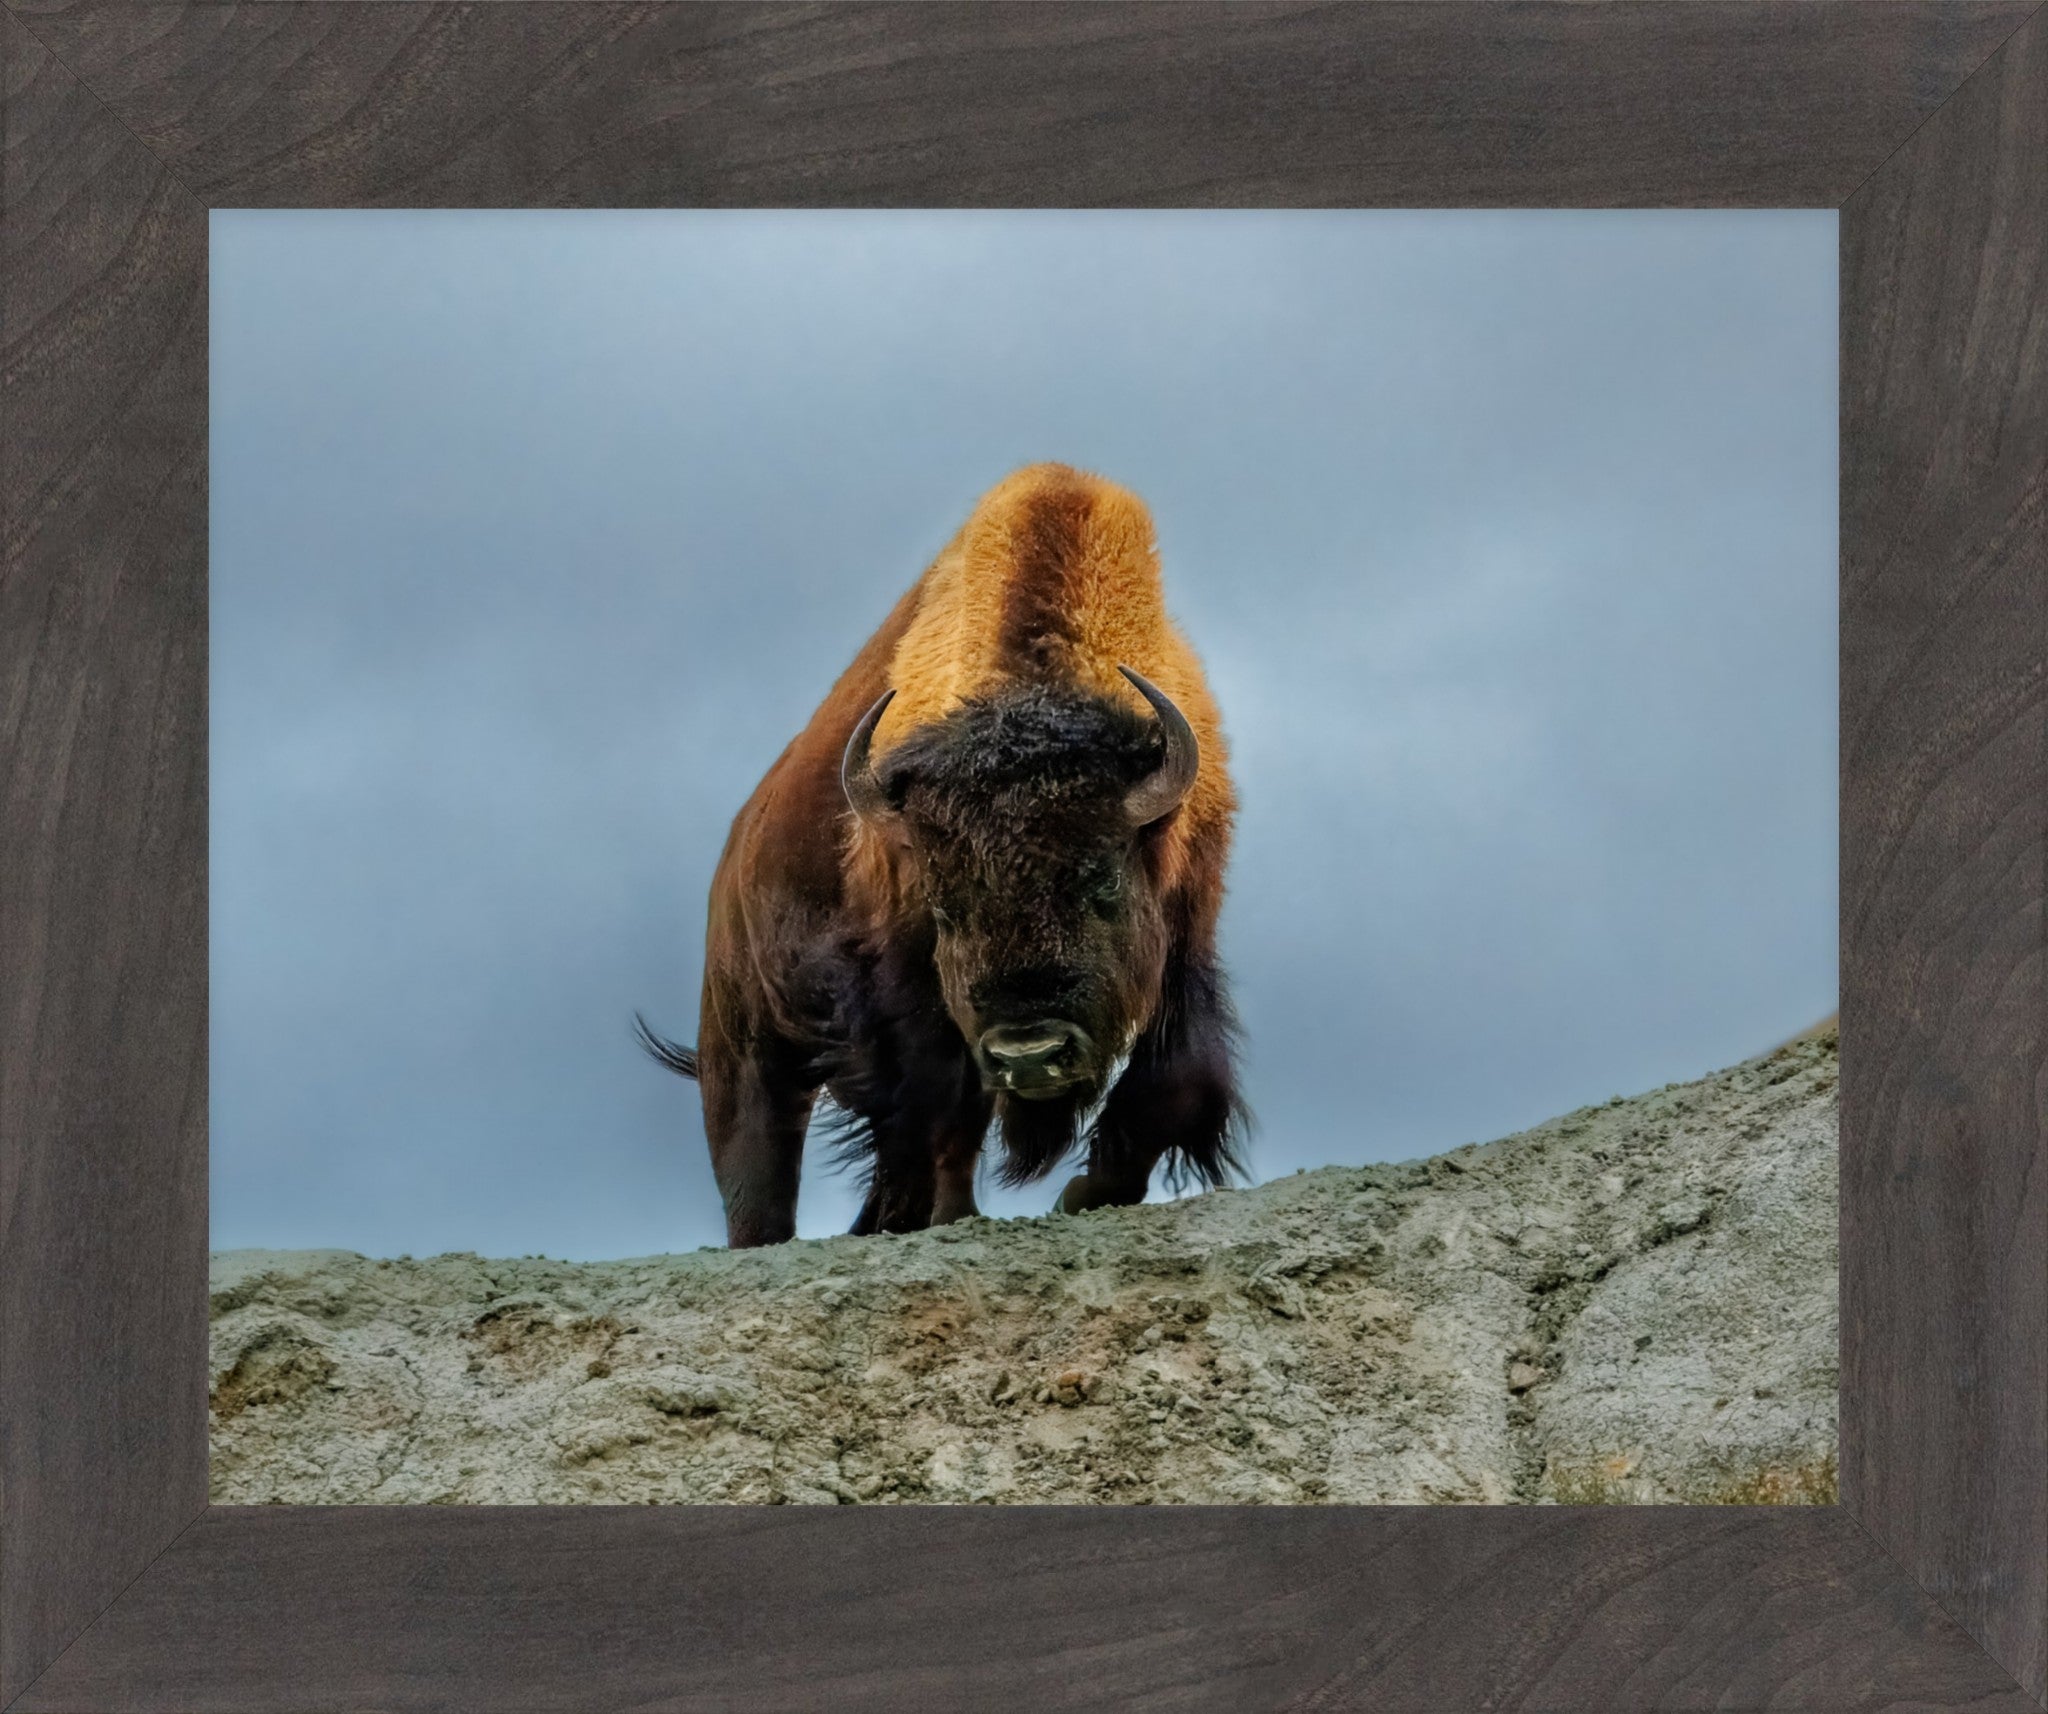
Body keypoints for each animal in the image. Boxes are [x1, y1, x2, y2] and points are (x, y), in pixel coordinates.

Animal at [640, 463, 1246, 1247]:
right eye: (946, 909)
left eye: (1102, 886)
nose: (1030, 1054)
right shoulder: (907, 985)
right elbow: (941, 1106)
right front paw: (951, 1213)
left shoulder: (1188, 923)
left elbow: (1180, 1079)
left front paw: (1087, 1192)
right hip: (743, 1046)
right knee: (760, 1172)